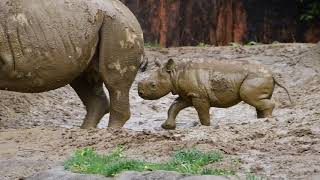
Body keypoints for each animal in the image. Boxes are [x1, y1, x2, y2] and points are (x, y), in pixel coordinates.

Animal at [136, 59, 292, 129]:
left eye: (153, 85)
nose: (140, 93)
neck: (175, 73)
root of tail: (272, 74)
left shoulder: (198, 95)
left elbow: (202, 111)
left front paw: (206, 126)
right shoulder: (188, 94)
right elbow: (174, 106)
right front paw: (167, 127)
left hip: (257, 77)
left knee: (248, 96)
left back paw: (267, 120)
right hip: (260, 77)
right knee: (258, 100)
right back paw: (261, 120)